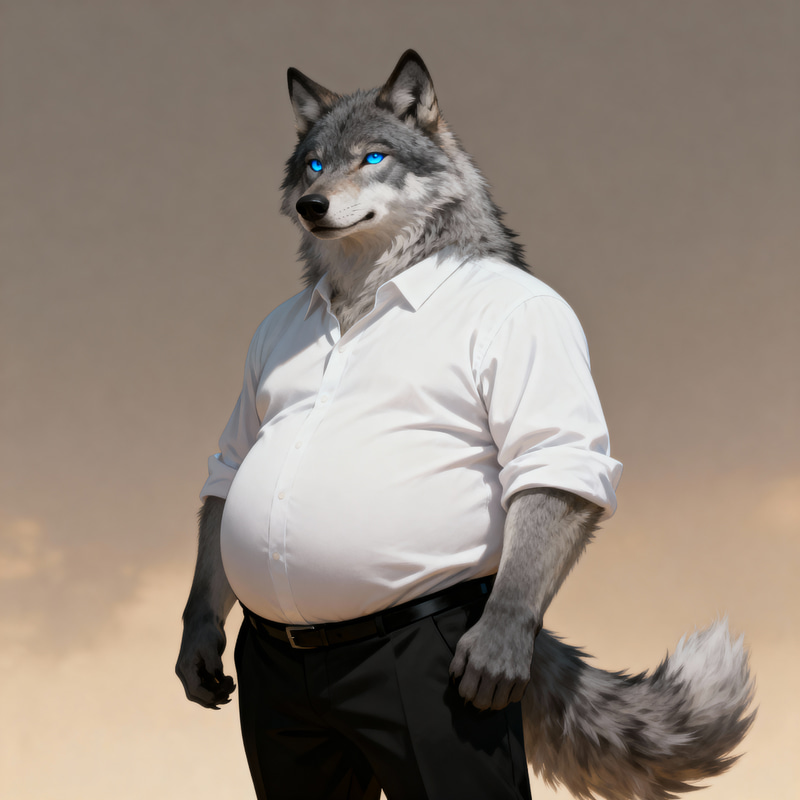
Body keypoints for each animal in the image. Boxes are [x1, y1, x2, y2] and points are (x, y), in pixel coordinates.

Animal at [176, 50, 754, 800]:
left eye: (373, 157)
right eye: (314, 165)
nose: (312, 206)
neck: (364, 291)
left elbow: (550, 464)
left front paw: (495, 645)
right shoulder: (243, 435)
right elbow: (226, 475)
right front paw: (198, 642)